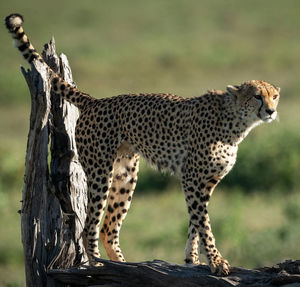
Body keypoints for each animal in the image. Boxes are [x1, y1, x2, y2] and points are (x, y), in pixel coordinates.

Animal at [5, 14, 280, 276]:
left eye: (274, 96)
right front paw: (216, 261)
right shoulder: (192, 178)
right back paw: (97, 266)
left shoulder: (205, 182)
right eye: (257, 96)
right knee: (89, 226)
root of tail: (95, 101)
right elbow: (204, 224)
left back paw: (122, 265)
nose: (271, 111)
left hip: (125, 175)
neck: (235, 122)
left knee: (108, 228)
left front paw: (192, 260)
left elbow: (195, 222)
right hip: (100, 172)